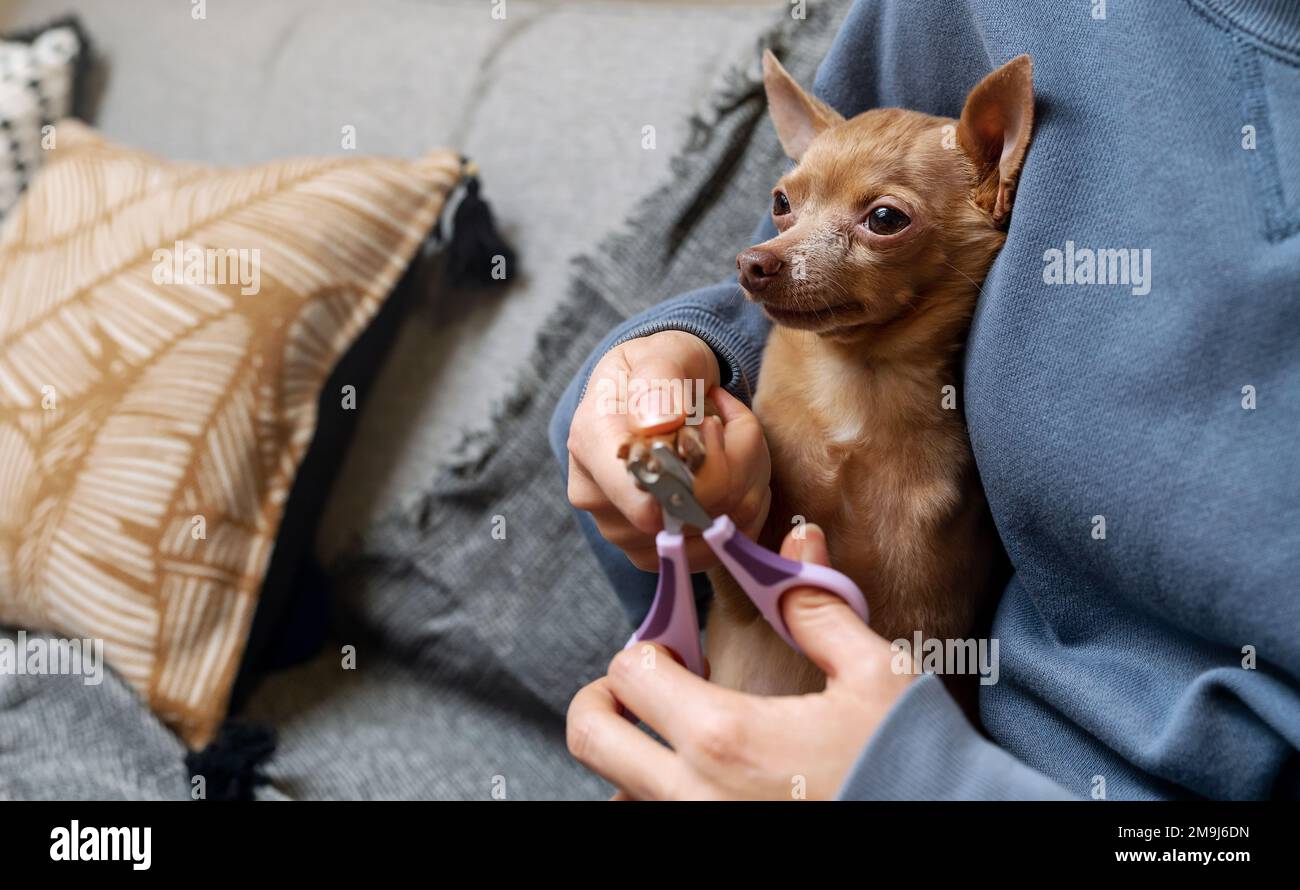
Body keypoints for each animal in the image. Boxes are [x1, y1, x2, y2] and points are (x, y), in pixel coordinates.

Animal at [702, 51, 1034, 696]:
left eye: (883, 218)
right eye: (781, 203)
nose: (754, 262)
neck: (852, 387)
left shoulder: (921, 625)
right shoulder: (736, 608)